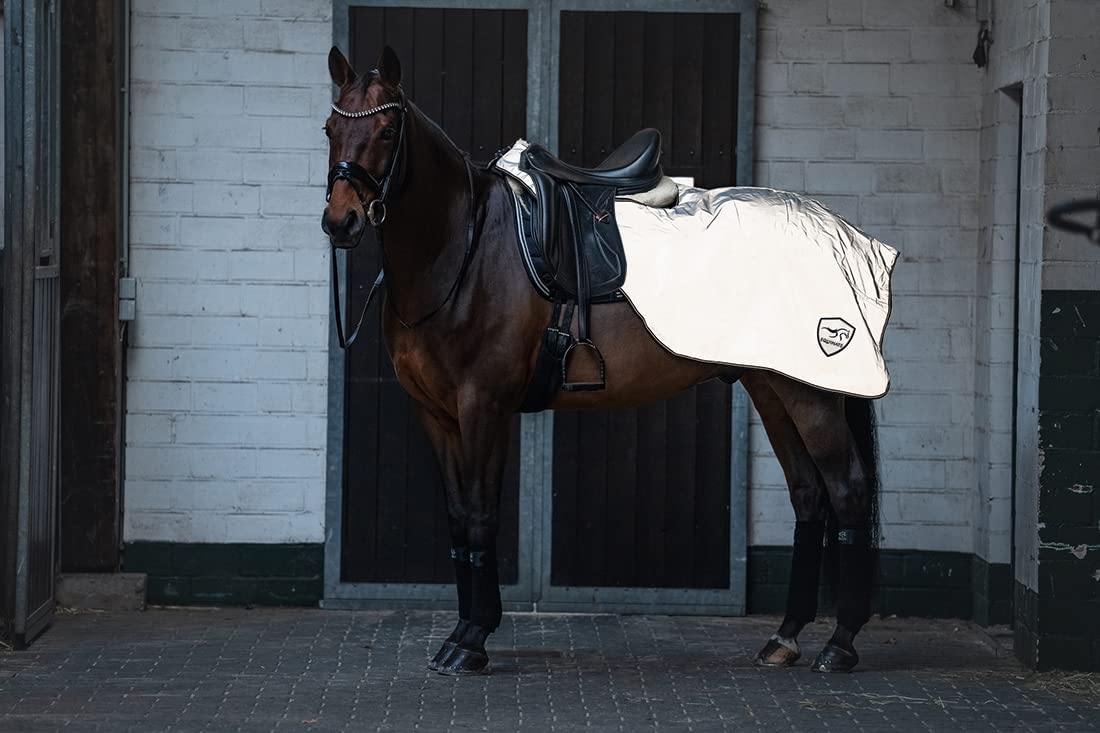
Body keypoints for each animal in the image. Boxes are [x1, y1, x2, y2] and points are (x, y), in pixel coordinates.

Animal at [321, 45, 882, 676]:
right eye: (330, 128)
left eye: (388, 131)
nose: (340, 222)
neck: (463, 251)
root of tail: (836, 228)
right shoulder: (436, 414)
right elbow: (459, 520)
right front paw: (462, 633)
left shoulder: (483, 406)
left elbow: (482, 517)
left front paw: (472, 640)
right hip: (774, 386)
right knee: (809, 494)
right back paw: (784, 637)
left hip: (812, 394)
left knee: (848, 490)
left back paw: (840, 644)